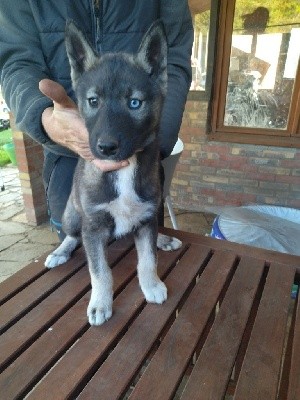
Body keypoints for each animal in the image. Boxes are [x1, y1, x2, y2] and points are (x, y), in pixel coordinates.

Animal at [44, 21, 180, 324]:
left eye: (135, 103)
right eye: (93, 101)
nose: (105, 148)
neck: (125, 169)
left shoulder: (147, 216)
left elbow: (147, 259)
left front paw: (151, 285)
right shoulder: (93, 227)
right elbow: (100, 271)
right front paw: (100, 303)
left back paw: (163, 239)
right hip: (72, 216)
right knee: (73, 235)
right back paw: (59, 252)